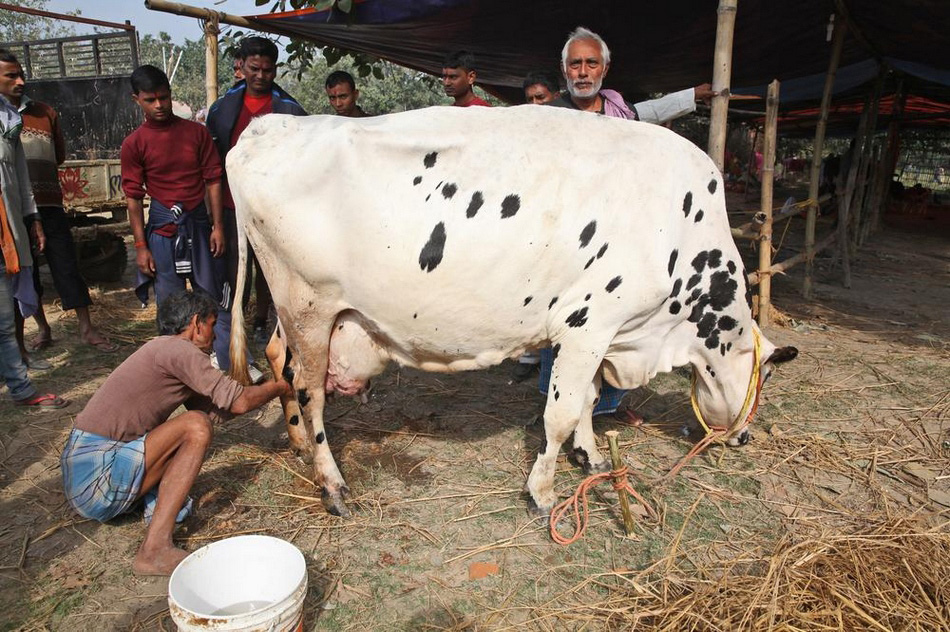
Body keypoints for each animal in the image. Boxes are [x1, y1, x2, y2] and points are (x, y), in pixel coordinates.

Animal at [227, 105, 800, 520]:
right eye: (768, 374)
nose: (744, 437)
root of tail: (267, 126)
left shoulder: (602, 333)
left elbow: (589, 399)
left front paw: (590, 456)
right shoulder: (587, 324)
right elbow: (561, 413)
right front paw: (542, 492)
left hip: (296, 312)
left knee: (278, 361)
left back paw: (299, 446)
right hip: (308, 305)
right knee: (309, 390)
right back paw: (331, 483)